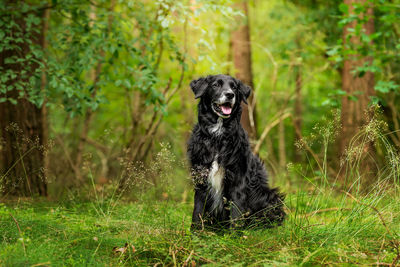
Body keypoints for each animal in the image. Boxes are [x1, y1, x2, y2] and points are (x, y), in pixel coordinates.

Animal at [188, 75, 284, 230]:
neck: (218, 137)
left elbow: (236, 213)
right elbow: (197, 213)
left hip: (270, 196)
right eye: (215, 85)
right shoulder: (201, 181)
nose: (230, 94)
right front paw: (195, 234)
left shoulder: (238, 181)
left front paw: (235, 235)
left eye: (234, 87)